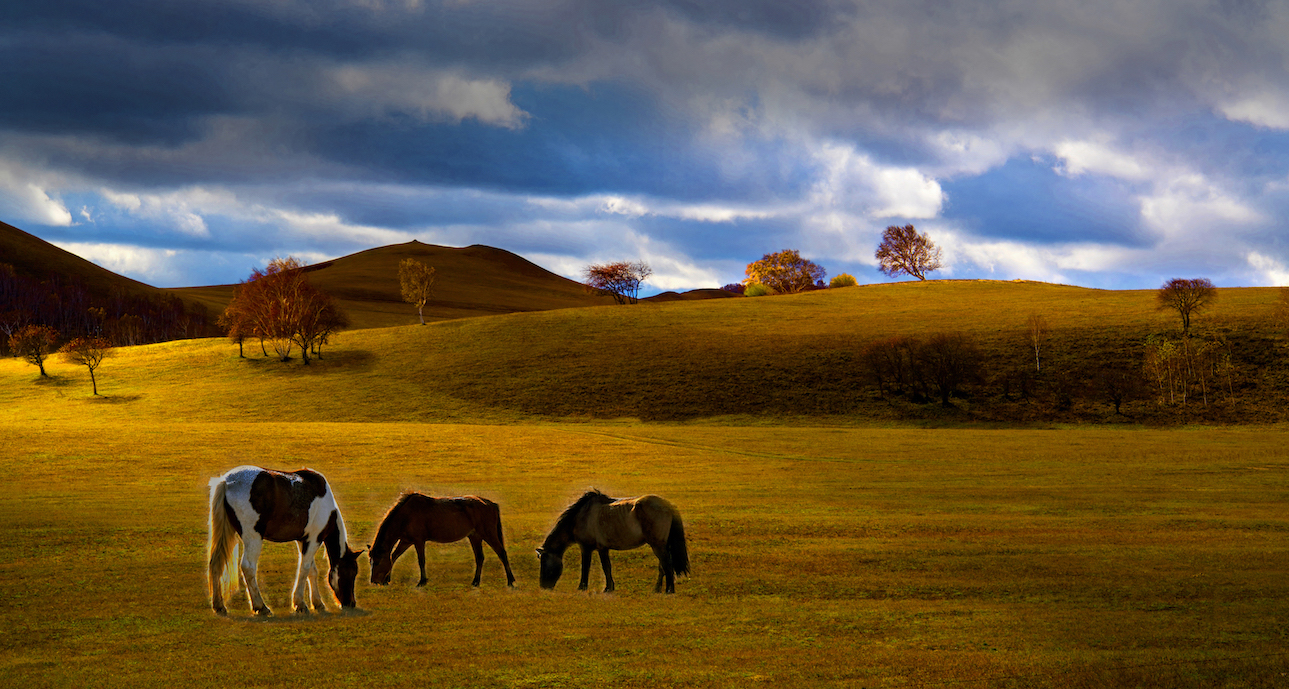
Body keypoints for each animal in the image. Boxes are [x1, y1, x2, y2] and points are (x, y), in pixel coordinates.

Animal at [207, 466, 363, 618]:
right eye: (351, 573)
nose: (351, 603)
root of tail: (226, 481)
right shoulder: (314, 539)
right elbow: (305, 569)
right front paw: (300, 604)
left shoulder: (303, 540)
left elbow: (312, 571)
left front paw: (318, 603)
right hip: (254, 538)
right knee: (248, 567)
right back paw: (261, 606)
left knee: (216, 563)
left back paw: (219, 606)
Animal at [366, 497, 515, 587]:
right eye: (370, 562)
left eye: (377, 562)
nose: (374, 581)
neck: (406, 515)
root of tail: (491, 504)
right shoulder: (406, 541)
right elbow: (394, 556)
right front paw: (387, 579)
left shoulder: (418, 541)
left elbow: (421, 560)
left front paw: (422, 581)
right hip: (475, 537)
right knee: (480, 557)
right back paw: (475, 581)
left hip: (488, 534)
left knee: (501, 553)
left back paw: (510, 580)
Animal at [536, 486, 690, 594]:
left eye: (544, 562)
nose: (543, 586)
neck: (581, 516)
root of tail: (668, 505)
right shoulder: (603, 548)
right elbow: (607, 567)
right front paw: (609, 588)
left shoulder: (586, 548)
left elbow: (587, 567)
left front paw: (583, 587)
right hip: (661, 545)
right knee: (662, 567)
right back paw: (657, 589)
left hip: (657, 545)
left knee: (667, 565)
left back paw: (669, 590)